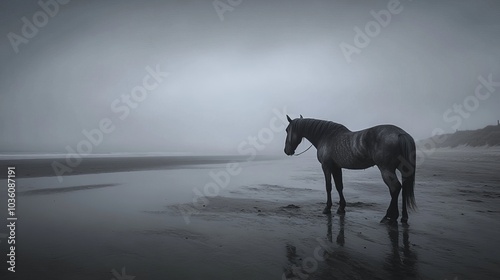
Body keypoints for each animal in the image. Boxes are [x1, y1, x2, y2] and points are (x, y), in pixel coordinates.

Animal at [284, 115, 416, 224]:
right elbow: (339, 186)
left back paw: (389, 216)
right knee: (404, 188)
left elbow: (328, 186)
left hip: (386, 170)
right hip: (404, 170)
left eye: (287, 130)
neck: (326, 136)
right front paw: (341, 208)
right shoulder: (336, 167)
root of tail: (400, 133)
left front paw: (327, 208)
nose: (286, 151)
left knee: (395, 188)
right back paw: (403, 217)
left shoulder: (326, 166)